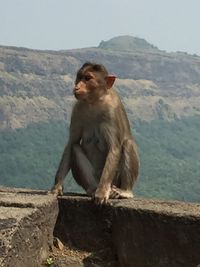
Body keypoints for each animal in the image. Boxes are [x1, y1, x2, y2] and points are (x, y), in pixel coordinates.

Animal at [51, 62, 139, 205]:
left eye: (87, 78)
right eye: (79, 77)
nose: (77, 86)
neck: (95, 101)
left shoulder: (112, 109)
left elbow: (114, 147)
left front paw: (102, 192)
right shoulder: (77, 109)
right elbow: (71, 143)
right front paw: (57, 187)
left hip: (115, 180)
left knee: (127, 144)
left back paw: (124, 191)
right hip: (94, 178)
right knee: (75, 148)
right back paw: (92, 189)